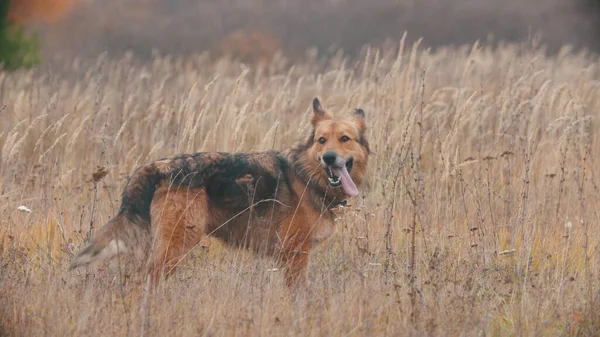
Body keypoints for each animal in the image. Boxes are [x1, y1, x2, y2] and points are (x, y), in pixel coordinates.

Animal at [70, 96, 370, 286]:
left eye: (345, 139)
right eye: (321, 140)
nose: (329, 158)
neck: (307, 176)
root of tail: (159, 166)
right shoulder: (296, 256)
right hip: (175, 247)